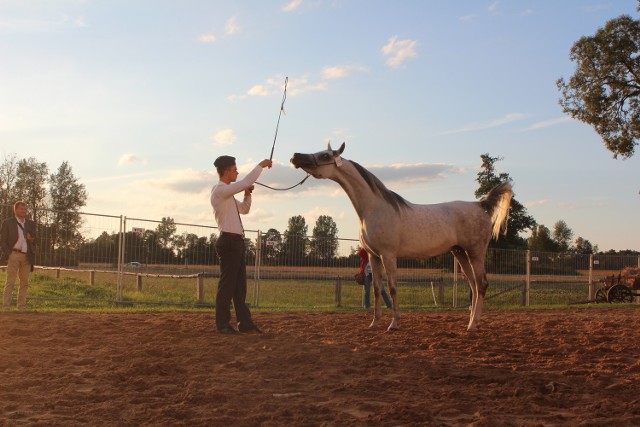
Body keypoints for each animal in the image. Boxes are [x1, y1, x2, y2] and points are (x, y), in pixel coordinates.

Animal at [292, 142, 512, 332]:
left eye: (325, 155)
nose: (296, 156)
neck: (374, 208)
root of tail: (480, 205)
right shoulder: (373, 256)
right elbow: (376, 288)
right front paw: (374, 322)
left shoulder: (388, 255)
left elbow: (392, 288)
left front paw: (394, 323)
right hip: (460, 253)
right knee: (474, 285)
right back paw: (471, 322)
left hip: (475, 252)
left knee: (481, 284)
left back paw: (473, 325)